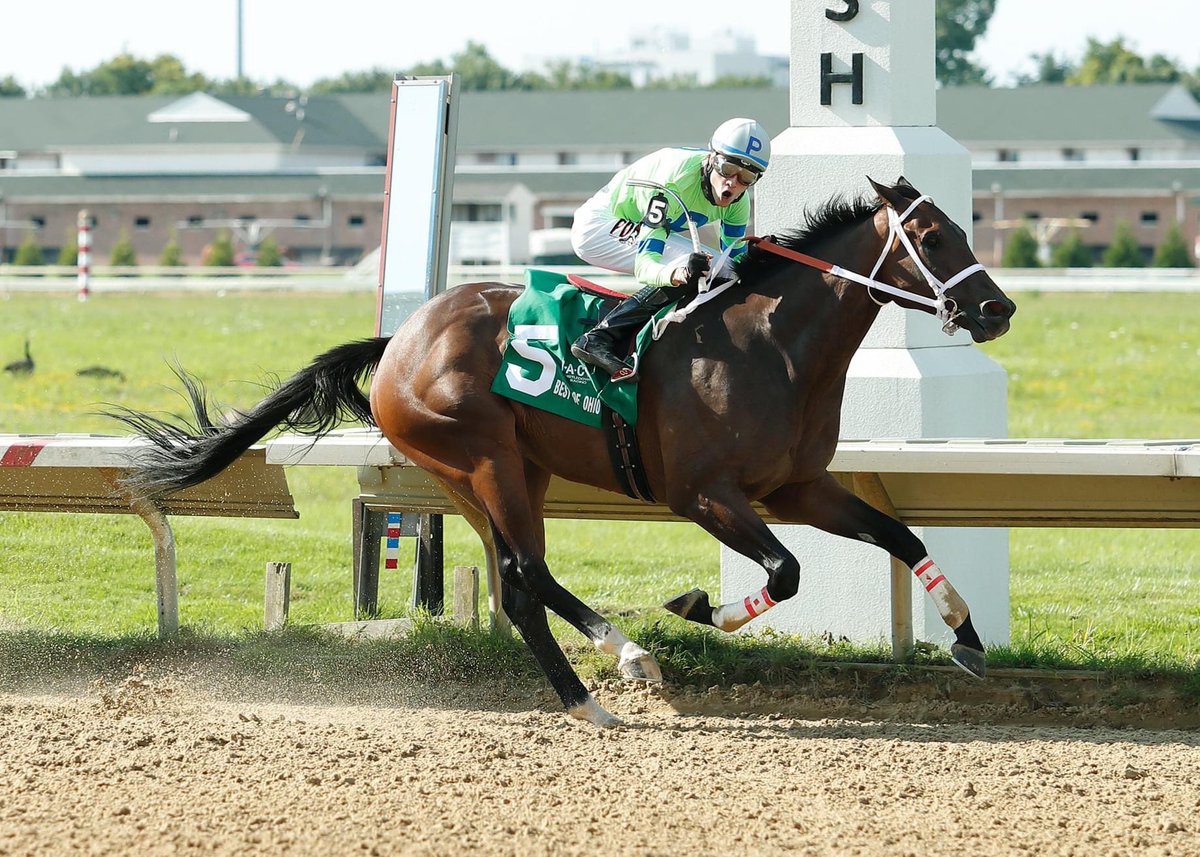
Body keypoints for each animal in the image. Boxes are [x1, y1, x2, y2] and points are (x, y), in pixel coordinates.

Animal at [110, 176, 1012, 724]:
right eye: (931, 235)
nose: (996, 309)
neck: (772, 345)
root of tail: (401, 340)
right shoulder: (704, 493)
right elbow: (785, 572)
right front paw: (699, 607)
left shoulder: (796, 485)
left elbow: (900, 533)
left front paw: (965, 635)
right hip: (482, 458)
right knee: (525, 572)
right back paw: (618, 667)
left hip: (499, 469)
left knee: (518, 582)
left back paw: (601, 682)